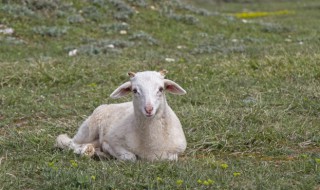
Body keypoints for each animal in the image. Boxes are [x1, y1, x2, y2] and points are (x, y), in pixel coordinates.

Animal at [53, 70, 186, 161]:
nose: (148, 109)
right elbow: (130, 157)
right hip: (88, 129)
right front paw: (108, 151)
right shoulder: (113, 140)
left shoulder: (178, 150)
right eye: (134, 90)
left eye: (161, 89)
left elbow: (171, 158)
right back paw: (86, 151)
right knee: (69, 142)